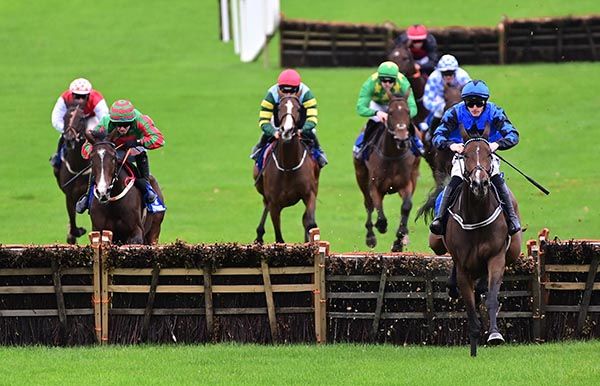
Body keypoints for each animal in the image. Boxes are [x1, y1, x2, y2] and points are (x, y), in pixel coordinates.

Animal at [52, 105, 88, 244]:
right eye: (64, 117)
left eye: (81, 118)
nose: (69, 139)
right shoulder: (70, 196)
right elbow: (72, 225)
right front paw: (77, 232)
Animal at [253, 94, 318, 243]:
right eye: (279, 108)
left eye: (299, 109)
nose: (287, 130)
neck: (288, 167)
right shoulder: (274, 204)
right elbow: (279, 237)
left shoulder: (310, 194)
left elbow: (310, 222)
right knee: (265, 204)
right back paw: (259, 234)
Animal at [354, 91, 420, 253]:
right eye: (390, 112)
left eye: (407, 112)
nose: (402, 138)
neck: (392, 156)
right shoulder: (374, 186)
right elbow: (378, 208)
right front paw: (380, 226)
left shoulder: (406, 184)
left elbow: (406, 206)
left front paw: (399, 240)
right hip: (360, 175)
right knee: (368, 204)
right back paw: (370, 236)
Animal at [426, 133, 520, 356]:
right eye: (466, 155)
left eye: (489, 154)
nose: (480, 183)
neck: (477, 214)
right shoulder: (463, 265)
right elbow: (469, 304)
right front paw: (474, 338)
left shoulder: (496, 257)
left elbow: (492, 297)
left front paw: (494, 334)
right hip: (436, 243)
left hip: (513, 250)